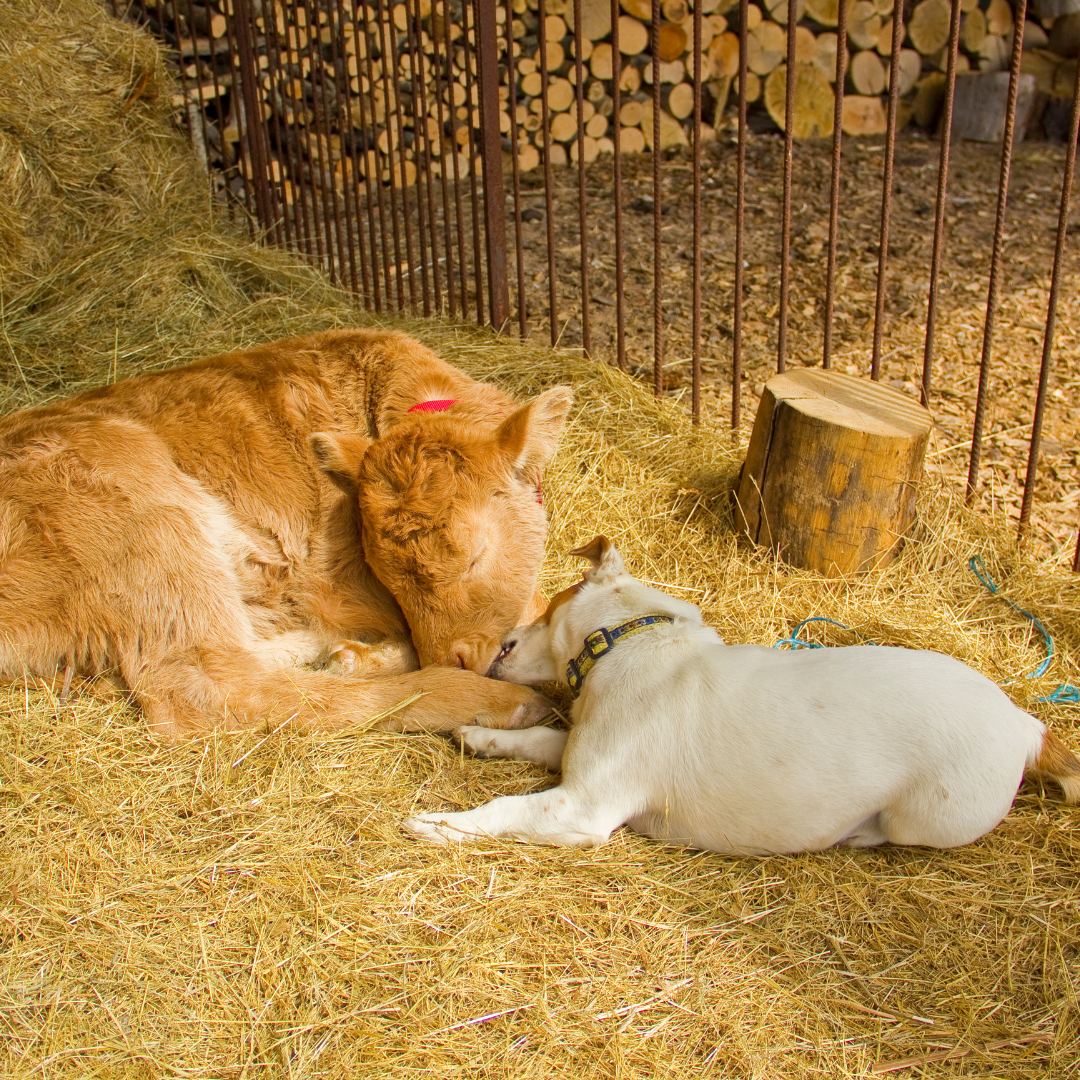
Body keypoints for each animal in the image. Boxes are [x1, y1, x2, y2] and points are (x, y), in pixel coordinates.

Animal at [406, 537, 1080, 851]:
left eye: (547, 610)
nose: (503, 644)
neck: (631, 639)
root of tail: (1025, 726)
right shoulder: (583, 757)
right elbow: (544, 737)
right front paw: (481, 735)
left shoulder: (584, 806)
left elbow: (504, 809)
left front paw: (439, 823)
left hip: (922, 816)